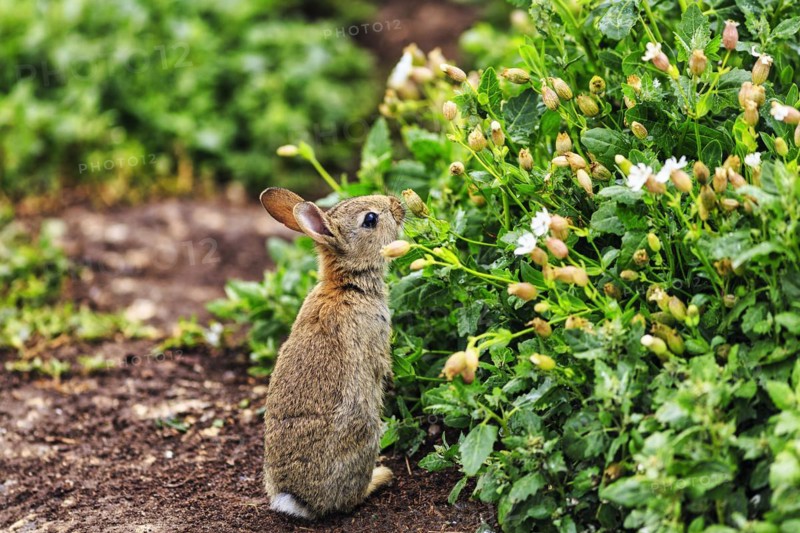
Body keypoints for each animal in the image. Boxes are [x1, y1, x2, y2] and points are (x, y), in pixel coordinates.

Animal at [259, 187, 405, 520]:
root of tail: (298, 500)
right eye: (370, 219)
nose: (398, 205)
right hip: (366, 434)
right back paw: (380, 477)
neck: (347, 283)